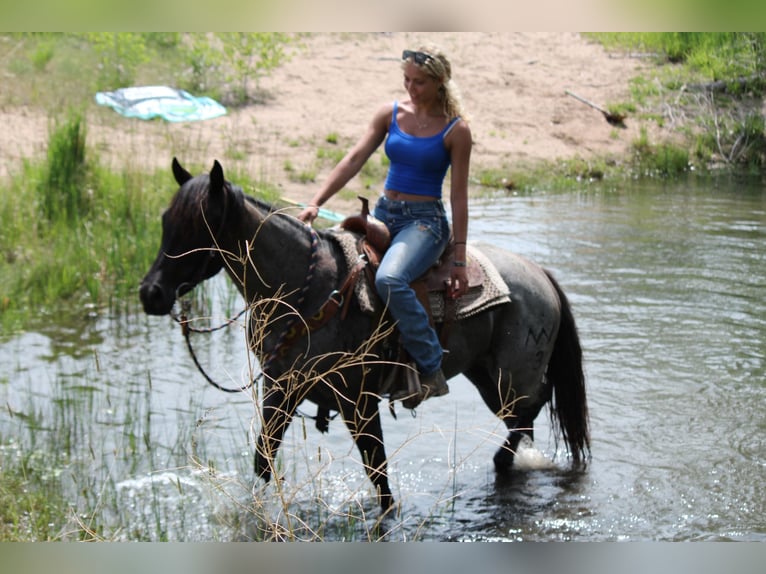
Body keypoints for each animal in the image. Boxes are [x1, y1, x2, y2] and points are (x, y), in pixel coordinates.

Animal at [139, 158, 590, 512]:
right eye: (164, 220)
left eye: (201, 226)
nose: (151, 293)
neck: (306, 289)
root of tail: (539, 272)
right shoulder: (281, 390)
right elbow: (263, 461)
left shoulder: (358, 403)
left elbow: (380, 477)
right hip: (484, 375)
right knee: (526, 414)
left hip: (507, 378)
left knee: (531, 407)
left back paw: (502, 462)